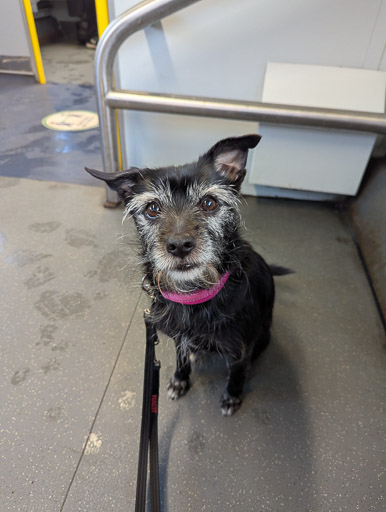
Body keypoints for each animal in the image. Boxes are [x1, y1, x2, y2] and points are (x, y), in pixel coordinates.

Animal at [85, 135, 290, 416]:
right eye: (152, 208)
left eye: (209, 203)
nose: (180, 245)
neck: (196, 295)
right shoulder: (178, 337)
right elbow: (181, 358)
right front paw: (180, 381)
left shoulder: (241, 348)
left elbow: (237, 373)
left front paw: (232, 396)